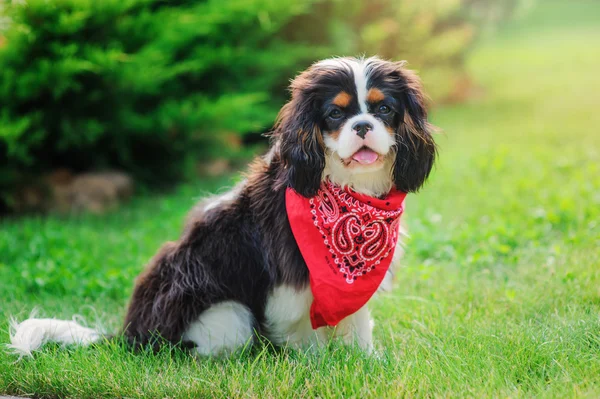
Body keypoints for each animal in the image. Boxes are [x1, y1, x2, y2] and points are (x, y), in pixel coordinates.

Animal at [7, 56, 434, 356]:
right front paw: (313, 360)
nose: (362, 126)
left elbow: (355, 318)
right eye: (335, 113)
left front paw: (364, 358)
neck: (349, 193)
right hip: (229, 314)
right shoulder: (290, 276)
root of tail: (129, 336)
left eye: (383, 110)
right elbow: (302, 324)